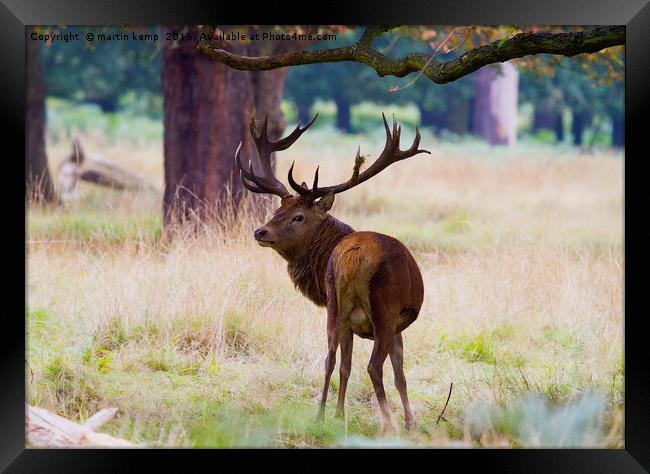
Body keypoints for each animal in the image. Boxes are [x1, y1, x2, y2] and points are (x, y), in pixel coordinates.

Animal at [235, 113, 428, 432]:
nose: (259, 231)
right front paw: (410, 421)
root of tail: (354, 256)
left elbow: (350, 366)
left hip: (338, 306)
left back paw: (321, 415)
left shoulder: (349, 319)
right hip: (383, 307)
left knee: (331, 359)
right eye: (277, 211)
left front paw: (338, 414)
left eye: (297, 216)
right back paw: (388, 423)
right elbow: (399, 373)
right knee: (373, 366)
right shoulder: (397, 322)